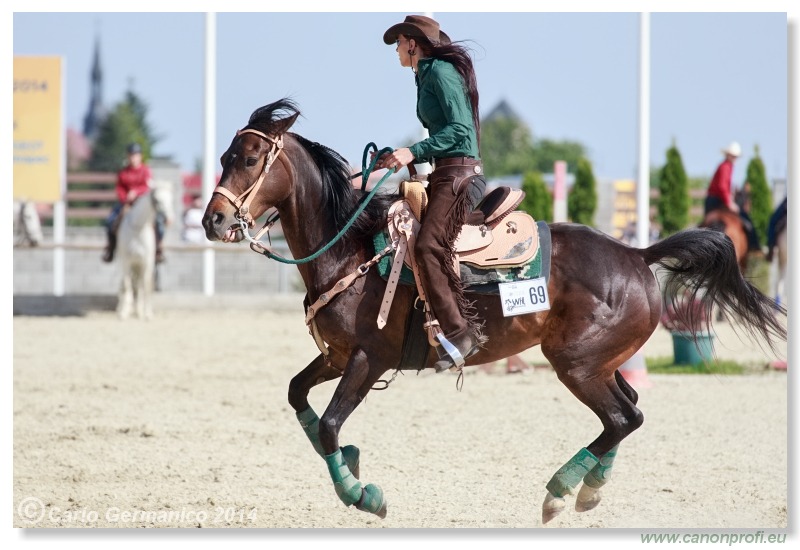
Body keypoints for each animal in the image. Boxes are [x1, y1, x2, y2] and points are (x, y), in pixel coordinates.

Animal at [114, 182, 172, 320]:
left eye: (171, 199)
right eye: (156, 199)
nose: (167, 218)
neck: (138, 228)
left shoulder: (147, 262)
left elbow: (145, 285)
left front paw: (147, 313)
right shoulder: (126, 261)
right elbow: (127, 285)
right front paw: (124, 313)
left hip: (139, 265)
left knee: (139, 285)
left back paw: (139, 310)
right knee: (124, 284)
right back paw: (122, 308)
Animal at [202, 102, 788, 528]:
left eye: (249, 159)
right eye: (226, 155)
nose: (213, 220)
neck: (351, 250)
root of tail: (637, 255)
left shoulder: (368, 358)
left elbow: (327, 425)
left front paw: (362, 492)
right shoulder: (336, 356)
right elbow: (299, 399)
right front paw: (352, 457)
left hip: (575, 364)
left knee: (623, 418)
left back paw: (560, 492)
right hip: (599, 362)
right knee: (629, 411)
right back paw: (589, 491)